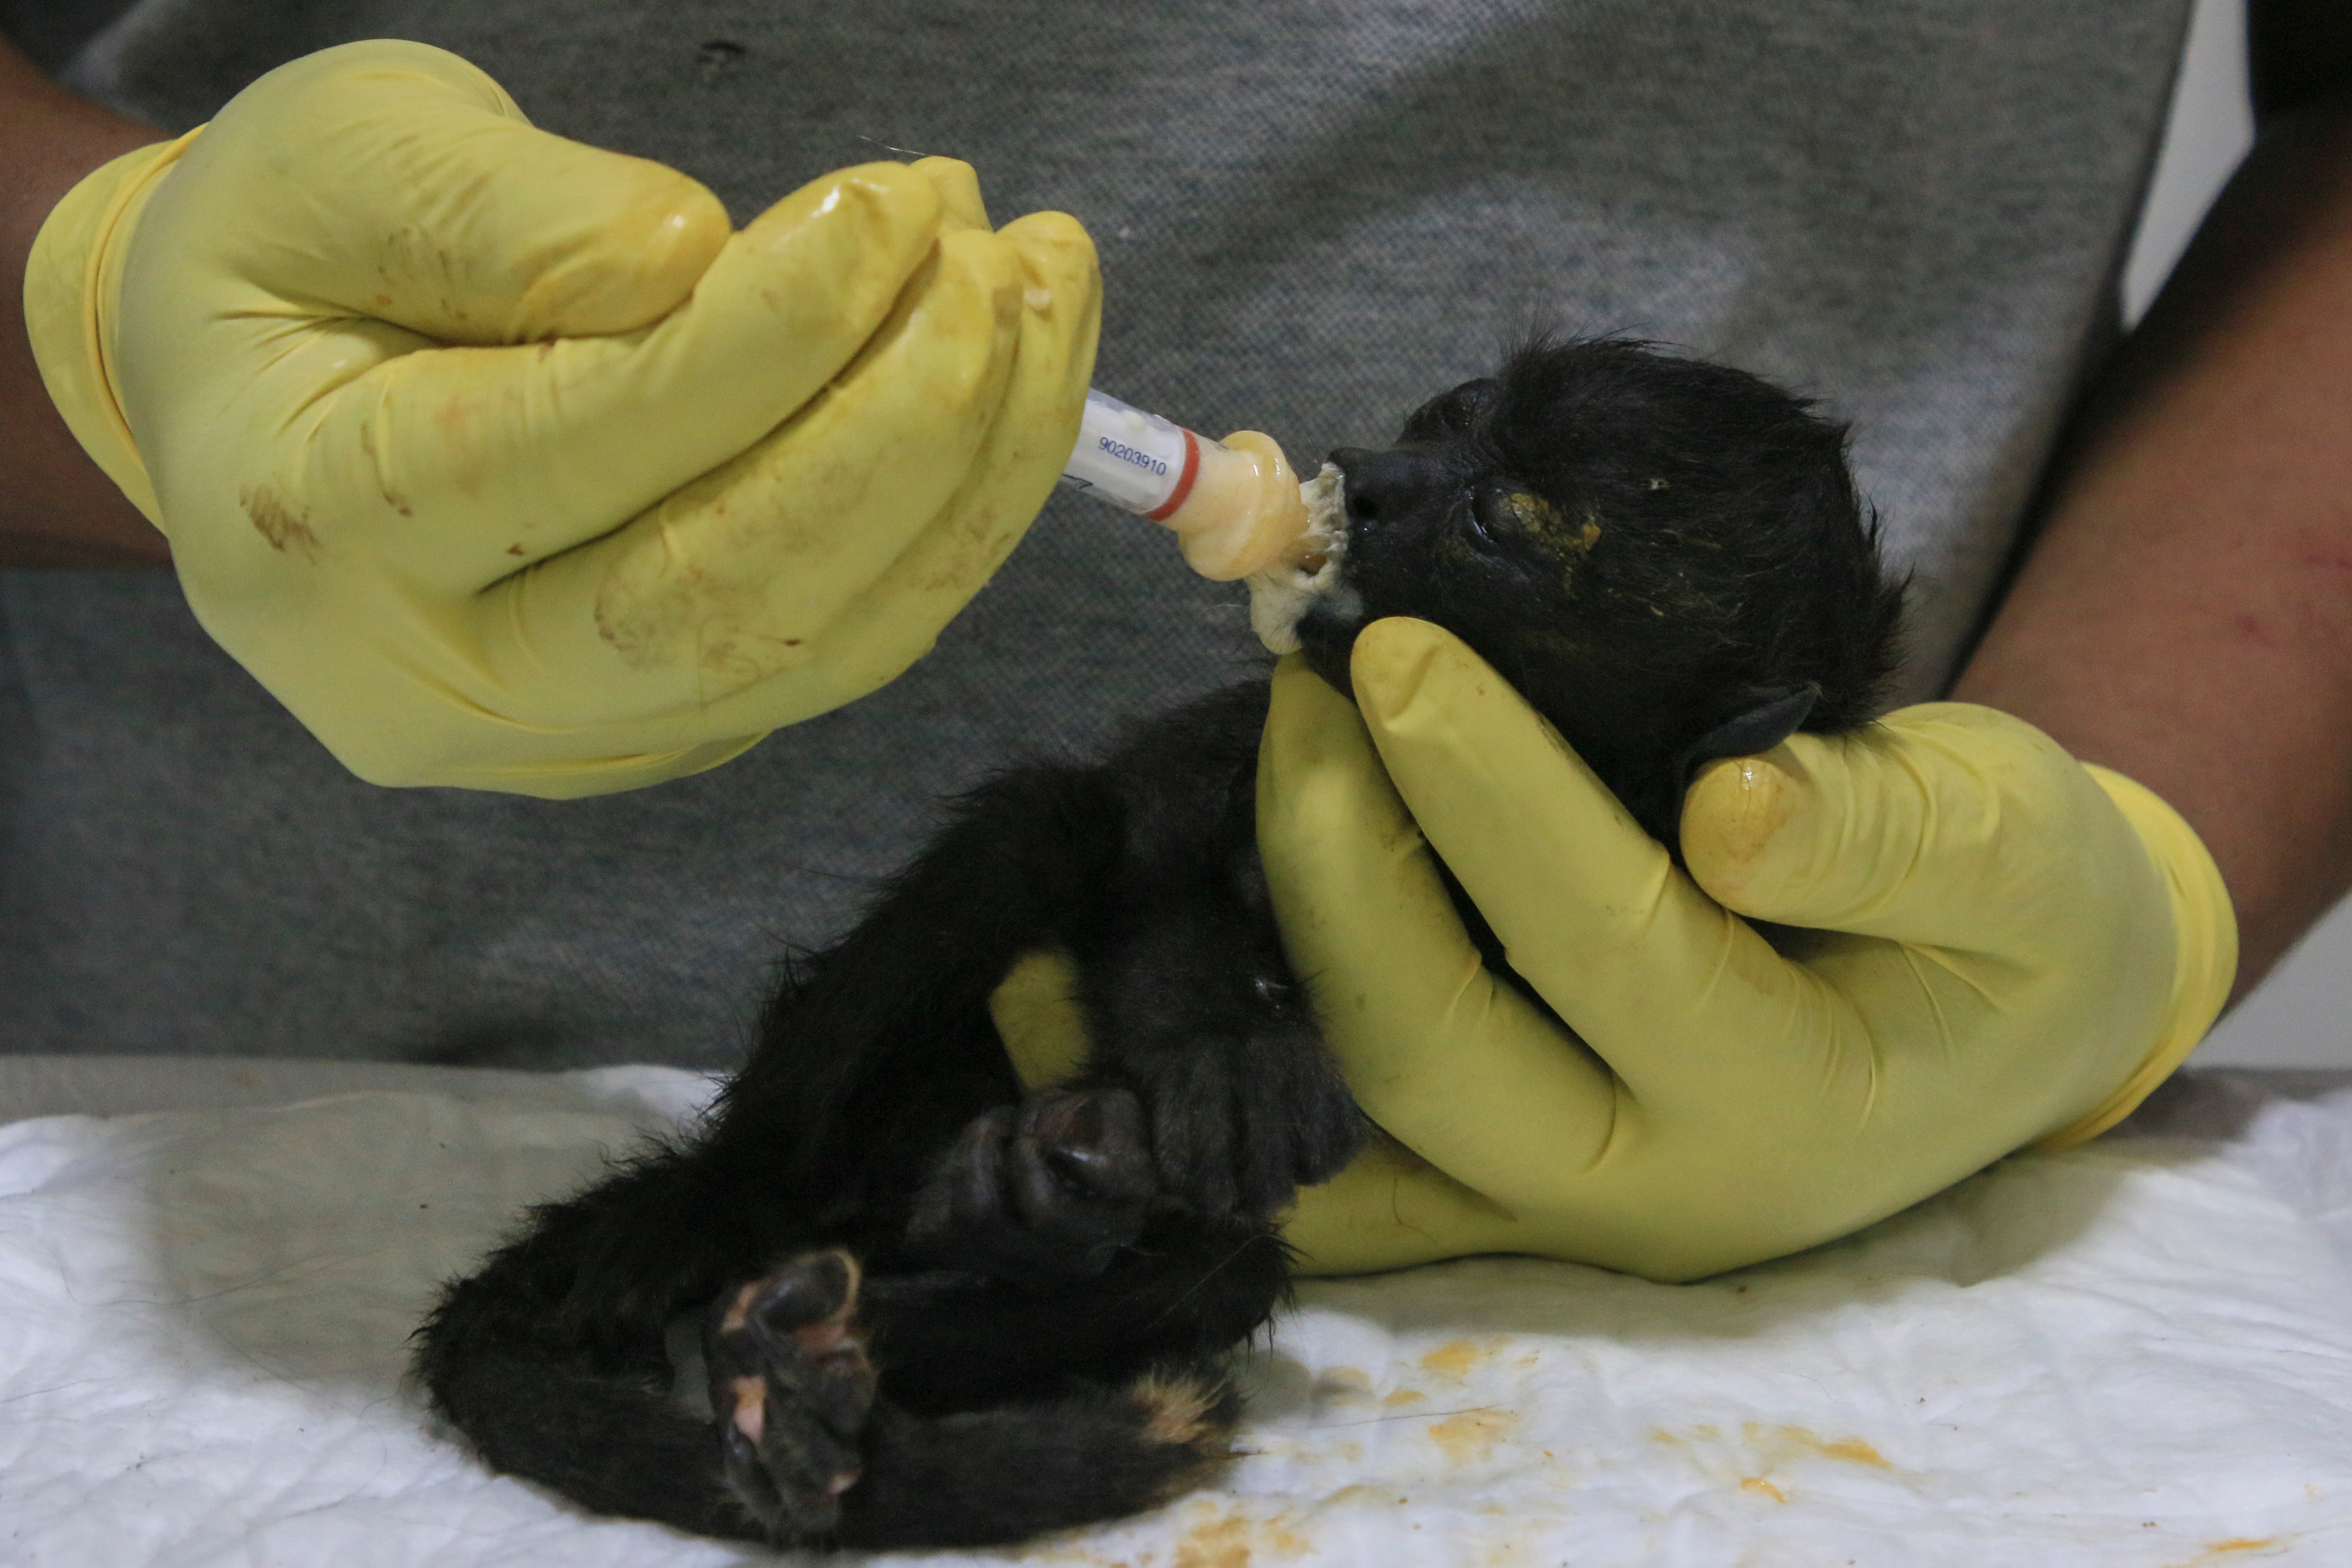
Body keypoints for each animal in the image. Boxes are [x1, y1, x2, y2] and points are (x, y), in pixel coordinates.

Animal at [414, 338, 1900, 1551]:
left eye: (1494, 519)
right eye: (1450, 414)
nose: (1369, 477)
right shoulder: (1270, 720)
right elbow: (1148, 837)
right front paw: (1234, 1047)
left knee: (1224, 1263)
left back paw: (950, 1267)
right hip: (820, 1128)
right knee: (1035, 829)